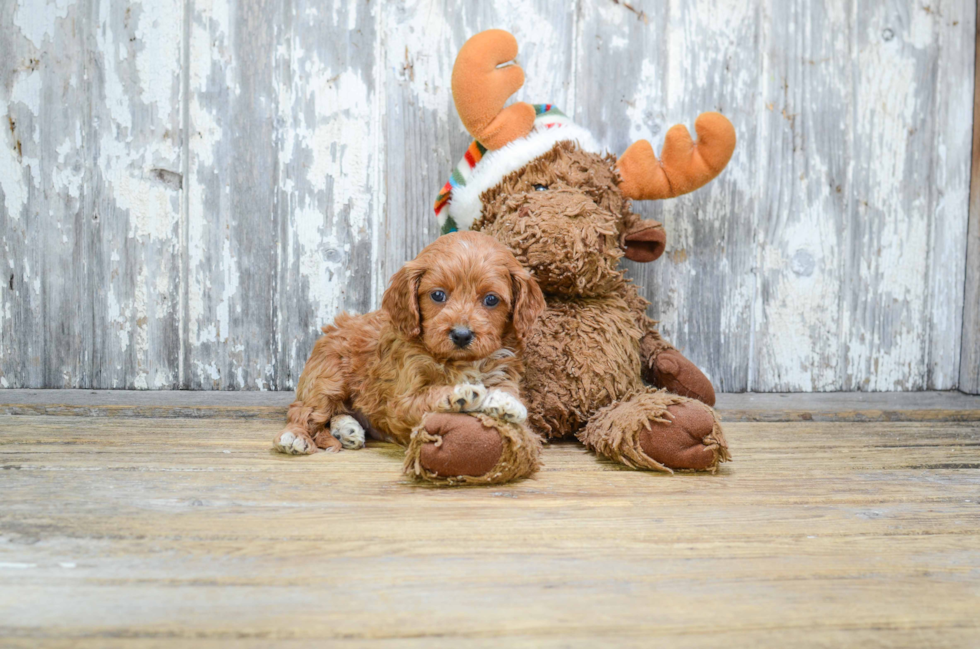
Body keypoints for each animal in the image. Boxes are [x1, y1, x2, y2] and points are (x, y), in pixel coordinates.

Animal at [274, 230, 544, 464]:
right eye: (438, 295)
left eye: (491, 299)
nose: (461, 335)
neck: (459, 361)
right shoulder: (403, 399)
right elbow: (432, 393)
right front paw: (460, 394)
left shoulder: (503, 368)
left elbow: (505, 389)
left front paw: (506, 402)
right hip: (328, 377)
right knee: (305, 410)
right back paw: (296, 436)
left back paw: (348, 429)